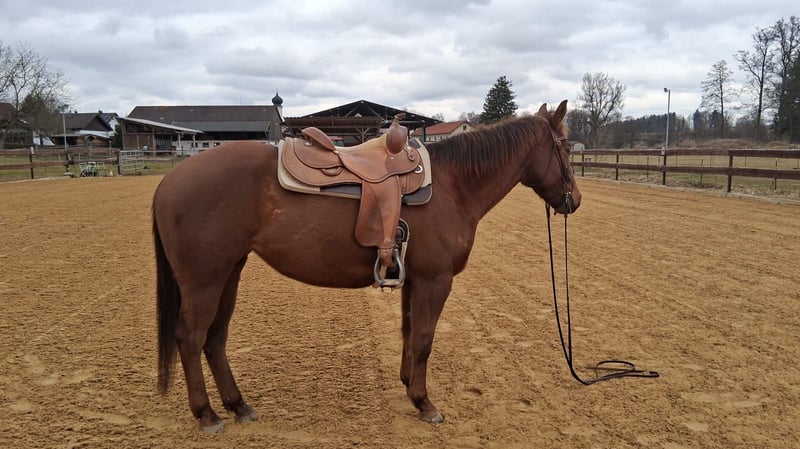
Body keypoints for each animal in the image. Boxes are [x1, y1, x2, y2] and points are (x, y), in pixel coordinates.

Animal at [152, 100, 581, 432]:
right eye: (564, 146)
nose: (573, 200)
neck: (454, 185)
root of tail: (170, 181)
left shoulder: (415, 280)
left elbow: (410, 333)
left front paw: (408, 385)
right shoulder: (435, 280)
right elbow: (424, 339)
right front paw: (425, 403)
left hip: (229, 273)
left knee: (215, 339)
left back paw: (238, 405)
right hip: (204, 281)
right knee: (191, 339)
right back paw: (207, 415)